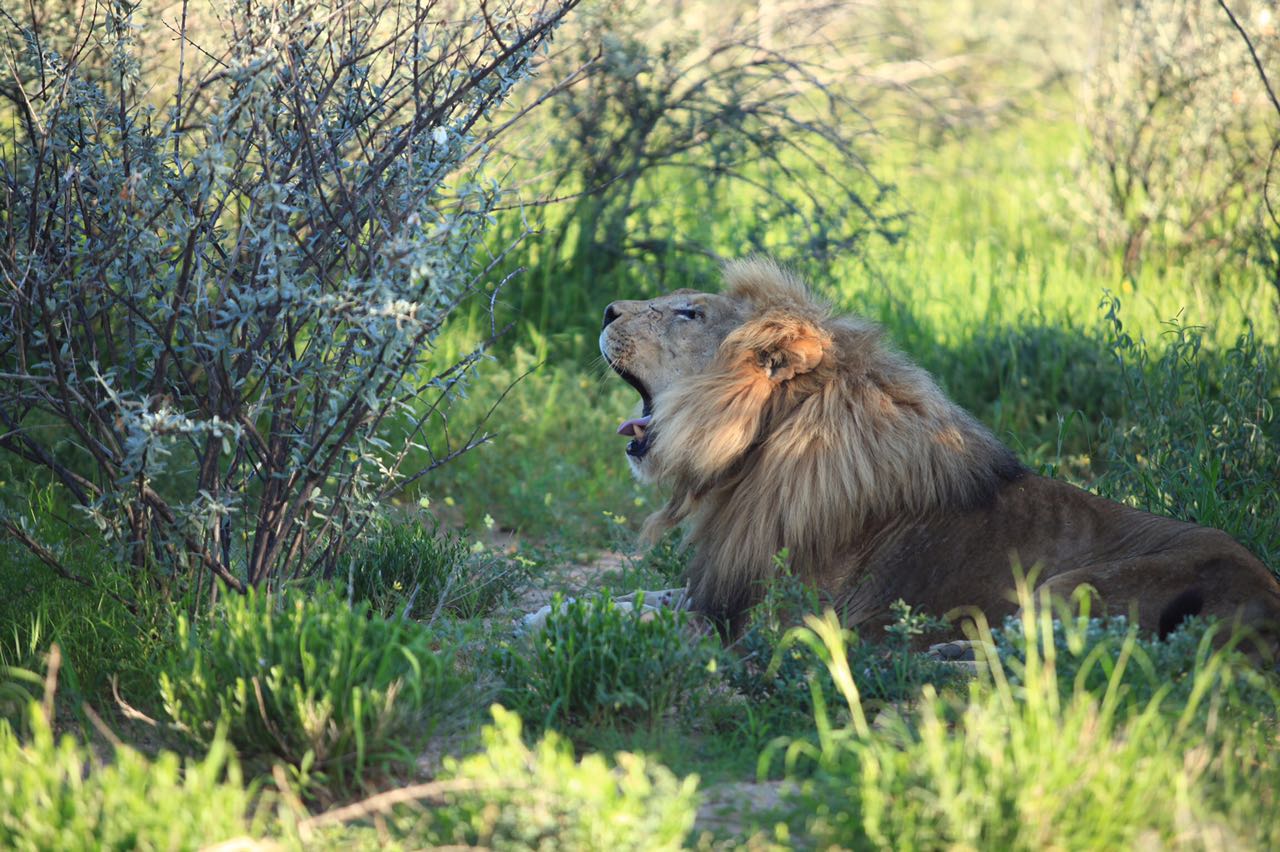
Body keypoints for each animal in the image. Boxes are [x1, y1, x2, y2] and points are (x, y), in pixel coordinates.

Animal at [596, 255, 1280, 652]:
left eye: (688, 312)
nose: (604, 308)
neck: (750, 461)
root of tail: (1265, 602)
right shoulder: (721, 587)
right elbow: (630, 599)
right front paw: (575, 615)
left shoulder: (782, 619)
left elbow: (653, 620)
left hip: (1061, 588)